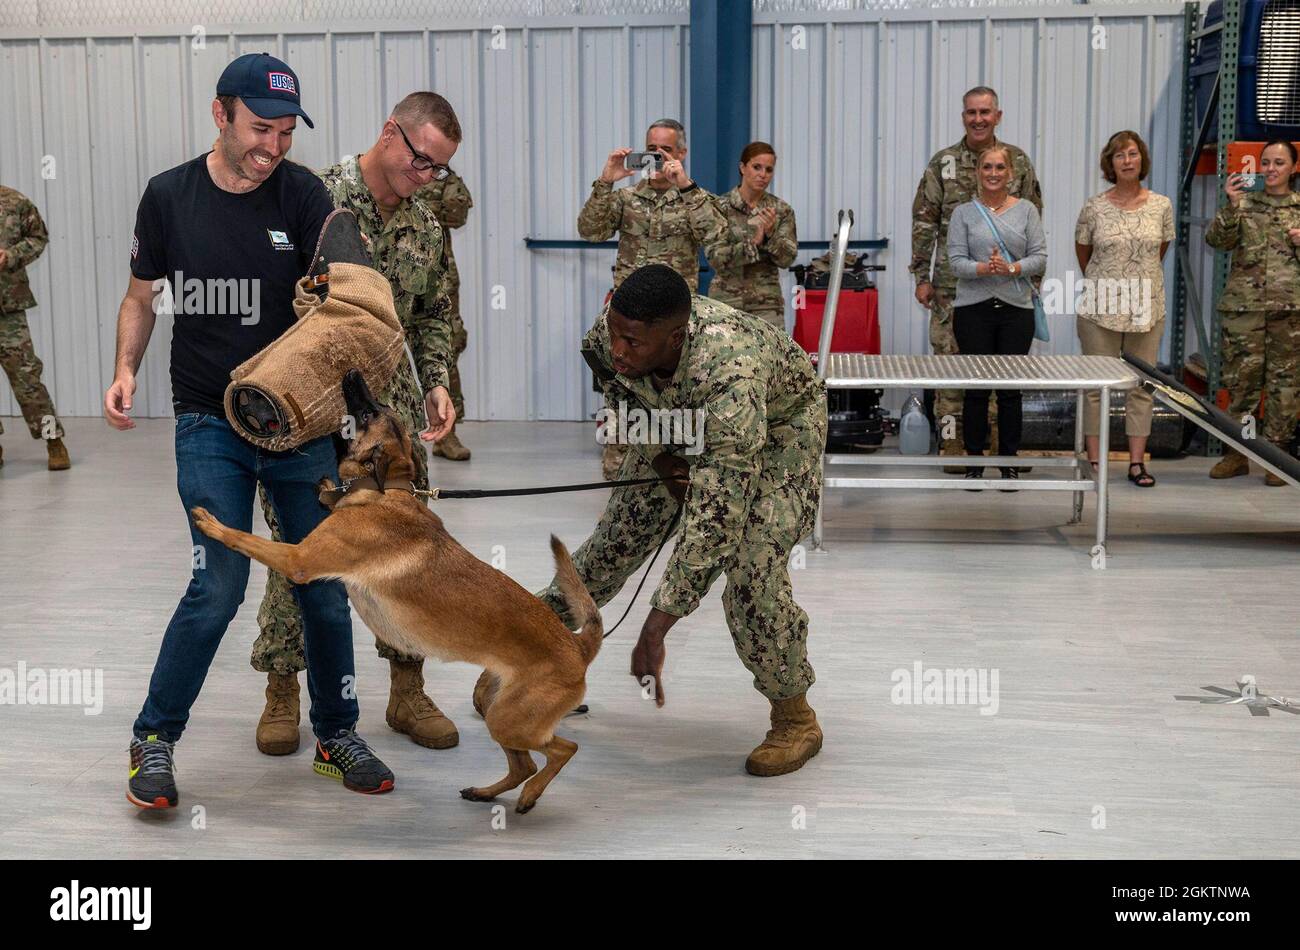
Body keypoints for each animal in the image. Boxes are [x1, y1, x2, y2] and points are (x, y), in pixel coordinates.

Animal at [191, 369, 603, 816]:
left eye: (369, 413)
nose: (353, 373)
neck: (385, 491)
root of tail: (578, 646)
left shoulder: (299, 558)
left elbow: (244, 537)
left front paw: (213, 524)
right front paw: (327, 486)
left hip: (510, 720)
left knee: (564, 749)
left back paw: (528, 797)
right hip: (499, 709)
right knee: (524, 764)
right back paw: (487, 792)